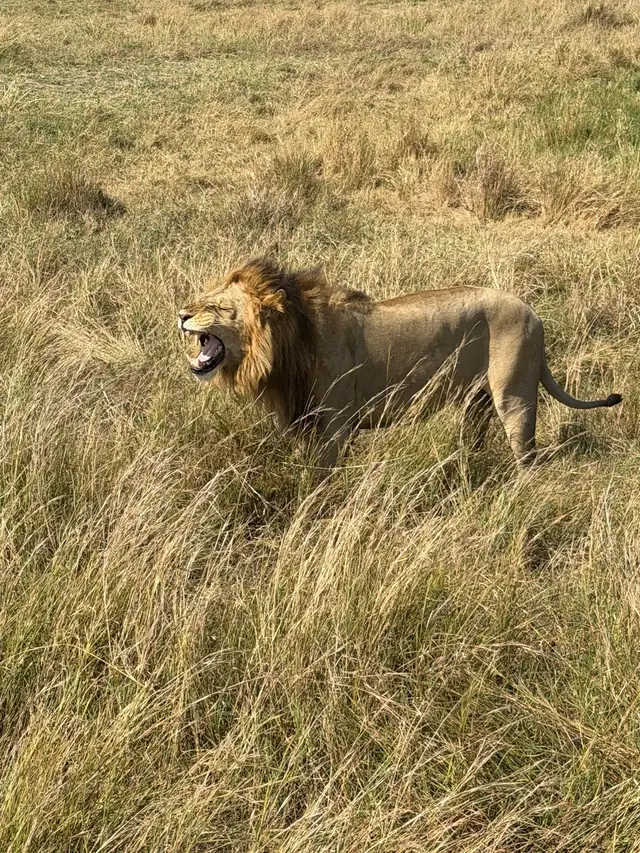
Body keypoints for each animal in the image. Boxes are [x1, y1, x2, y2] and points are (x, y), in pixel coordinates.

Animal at [178, 258, 622, 469]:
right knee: (476, 438)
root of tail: (534, 314)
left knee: (526, 453)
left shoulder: (336, 424)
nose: (181, 314)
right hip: (475, 401)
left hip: (514, 395)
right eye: (202, 298)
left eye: (217, 307)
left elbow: (321, 477)